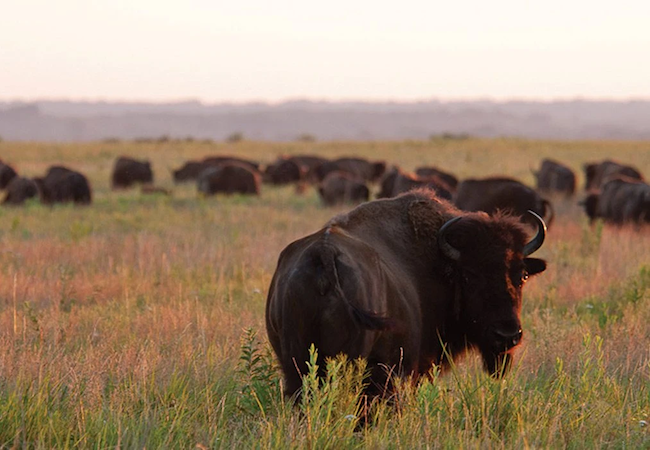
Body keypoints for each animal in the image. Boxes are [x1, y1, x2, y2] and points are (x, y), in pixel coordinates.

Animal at [266, 190, 547, 398]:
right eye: (469, 276)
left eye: (522, 275)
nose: (507, 335)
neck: (440, 263)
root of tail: (324, 253)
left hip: (295, 366)